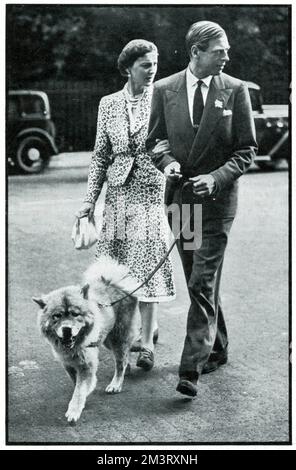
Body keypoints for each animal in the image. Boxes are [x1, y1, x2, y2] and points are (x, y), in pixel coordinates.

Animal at [33, 255, 142, 424]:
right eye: (57, 316)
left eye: (75, 314)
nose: (66, 329)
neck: (73, 347)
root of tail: (115, 284)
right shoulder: (68, 364)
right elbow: (75, 383)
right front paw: (84, 396)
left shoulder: (86, 366)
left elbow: (79, 390)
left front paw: (74, 410)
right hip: (107, 340)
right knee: (124, 357)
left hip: (118, 338)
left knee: (120, 362)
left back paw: (116, 384)